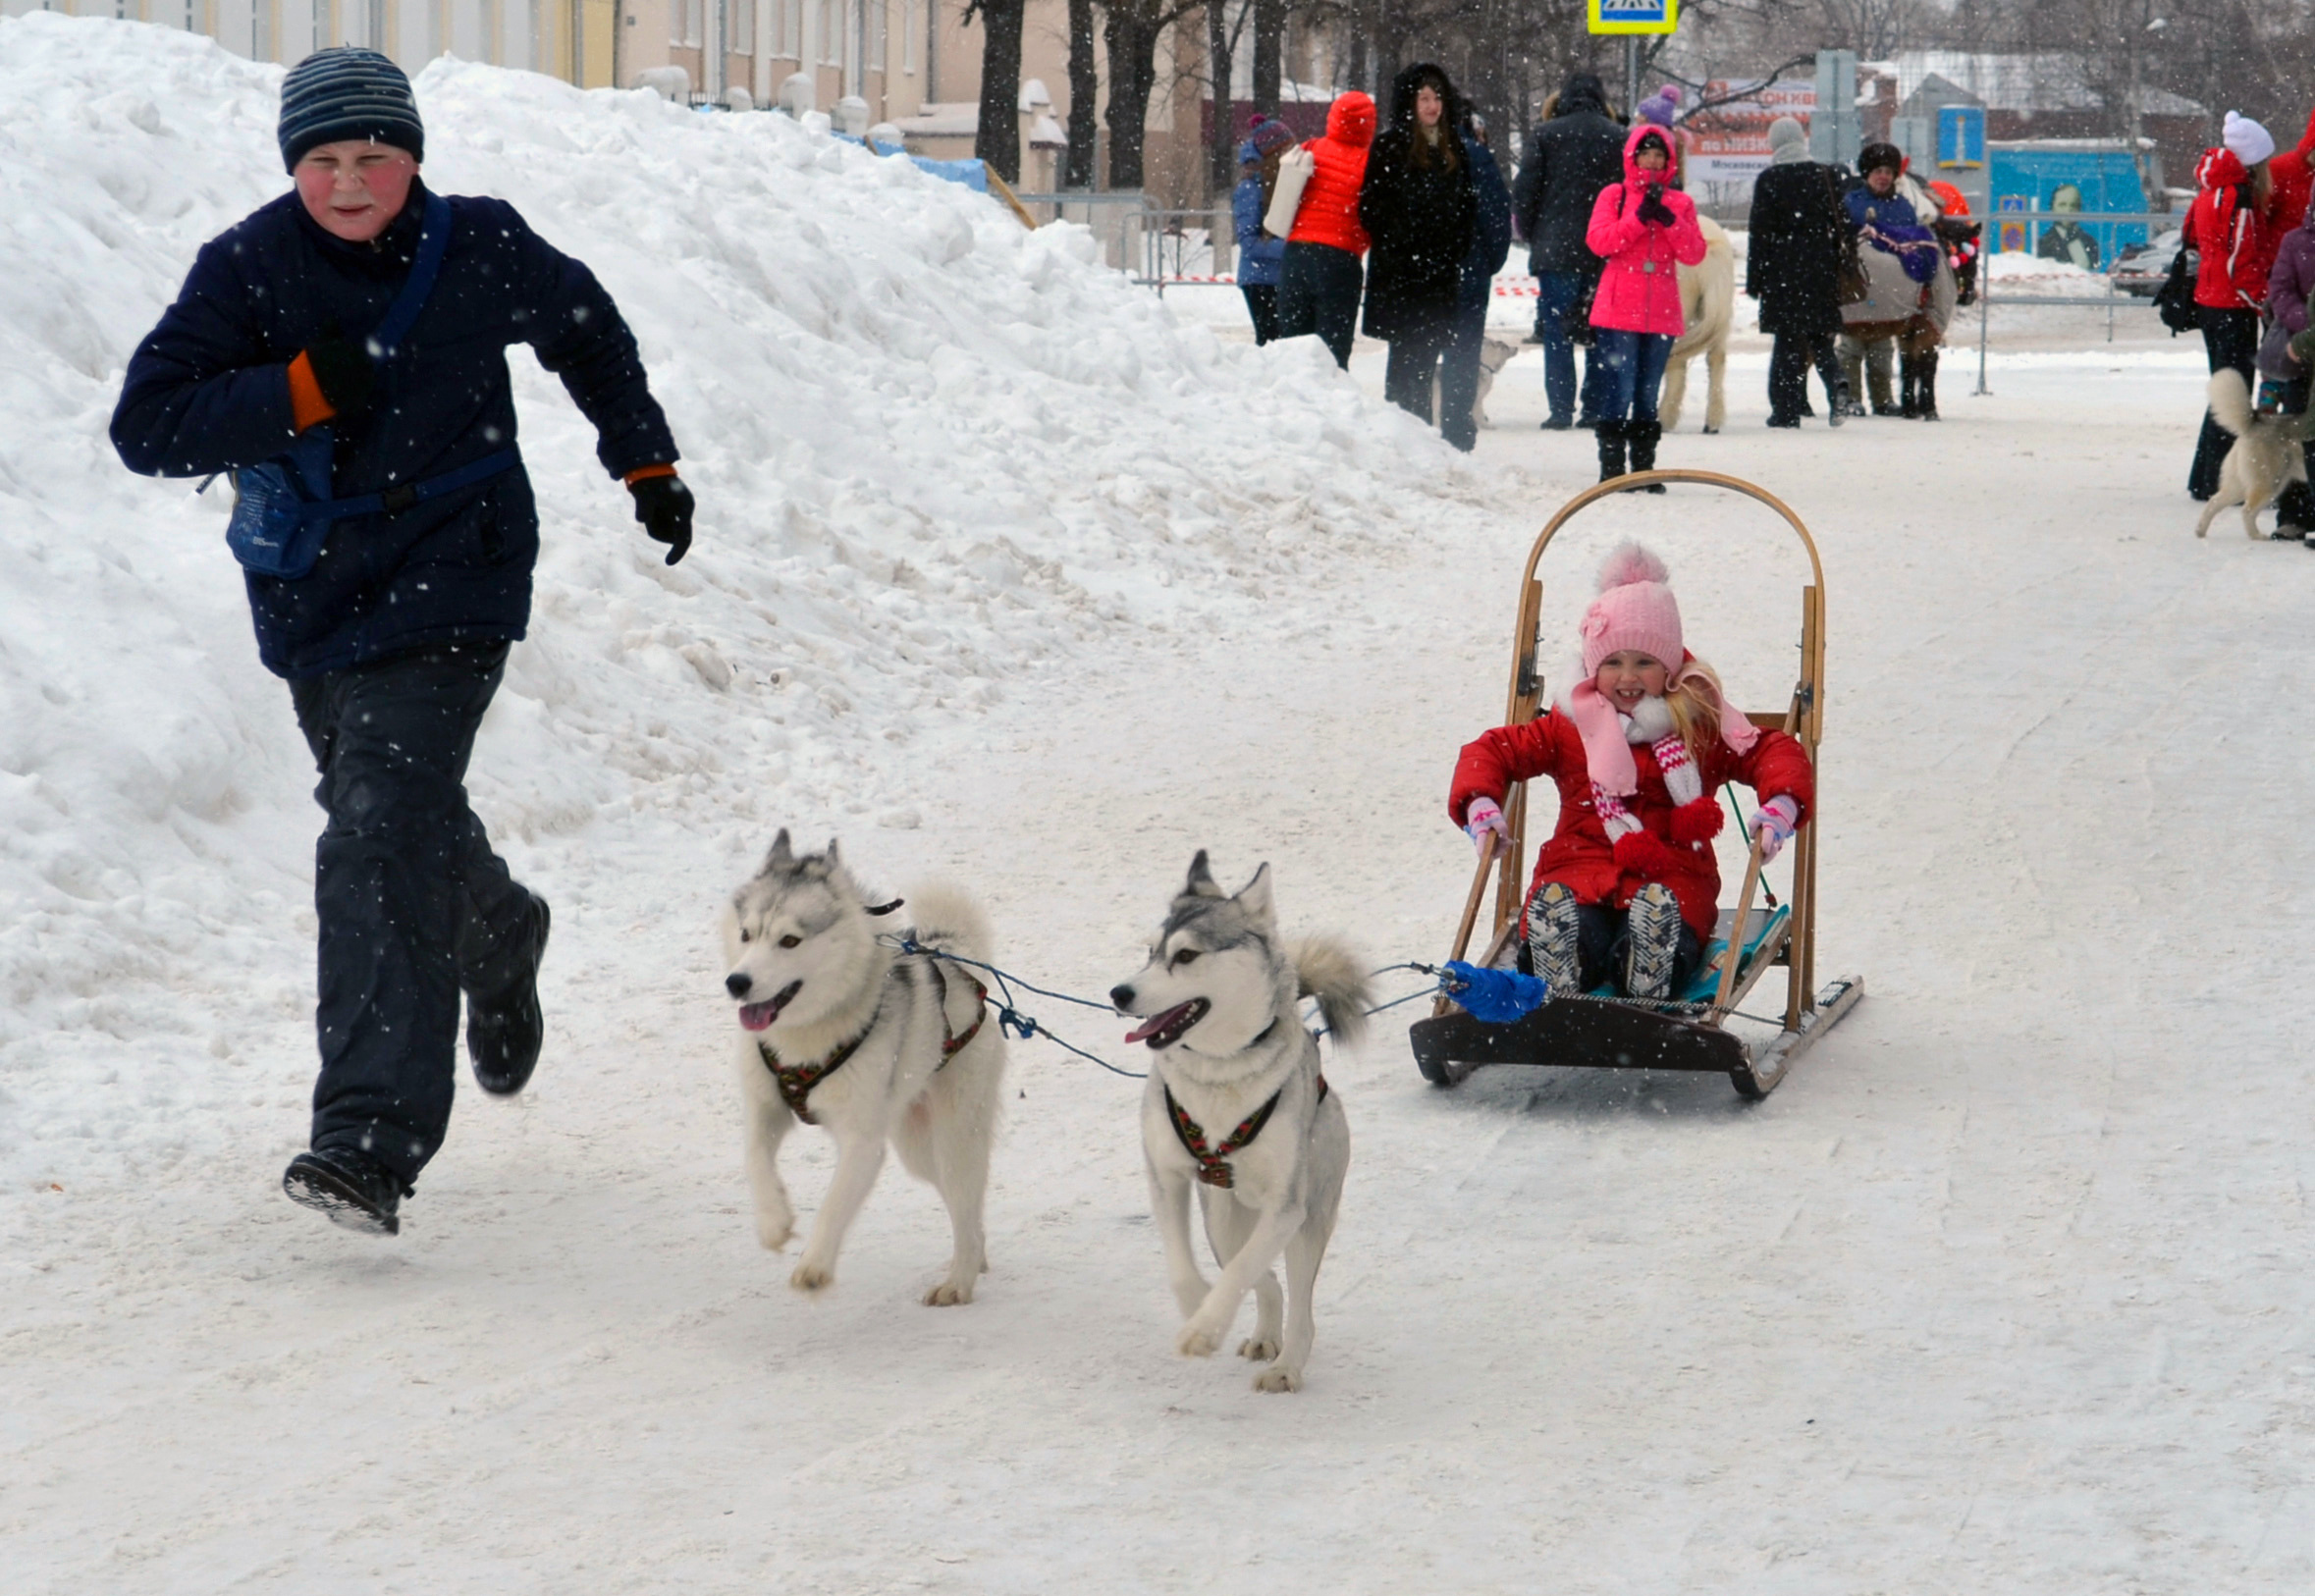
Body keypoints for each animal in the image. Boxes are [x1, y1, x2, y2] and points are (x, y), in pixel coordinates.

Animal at [713, 827, 1004, 1295]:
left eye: (789, 940)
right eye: (746, 934)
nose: (736, 982)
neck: (809, 1033)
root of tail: (958, 968)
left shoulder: (862, 1141)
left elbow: (835, 1203)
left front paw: (814, 1265)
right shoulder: (765, 1110)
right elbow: (755, 1159)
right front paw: (774, 1221)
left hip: (953, 1140)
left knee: (964, 1205)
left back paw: (958, 1283)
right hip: (918, 1150)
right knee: (966, 1210)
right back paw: (974, 1260)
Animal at [1110, 851, 1361, 1387]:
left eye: (1186, 956)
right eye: (1150, 951)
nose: (1119, 993)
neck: (1220, 1072)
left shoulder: (1286, 1207)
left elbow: (1244, 1270)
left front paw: (1204, 1329)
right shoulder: (1166, 1176)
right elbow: (1189, 1269)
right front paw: (1198, 1312)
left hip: (1309, 1215)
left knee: (1297, 1304)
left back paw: (1286, 1366)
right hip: (1220, 1220)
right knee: (1262, 1279)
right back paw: (1265, 1334)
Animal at [2194, 367, 2305, 536]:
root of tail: (2254, 423)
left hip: (2240, 485)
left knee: (2214, 501)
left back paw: (2200, 533)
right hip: (2269, 483)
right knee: (2247, 511)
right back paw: (2258, 537)